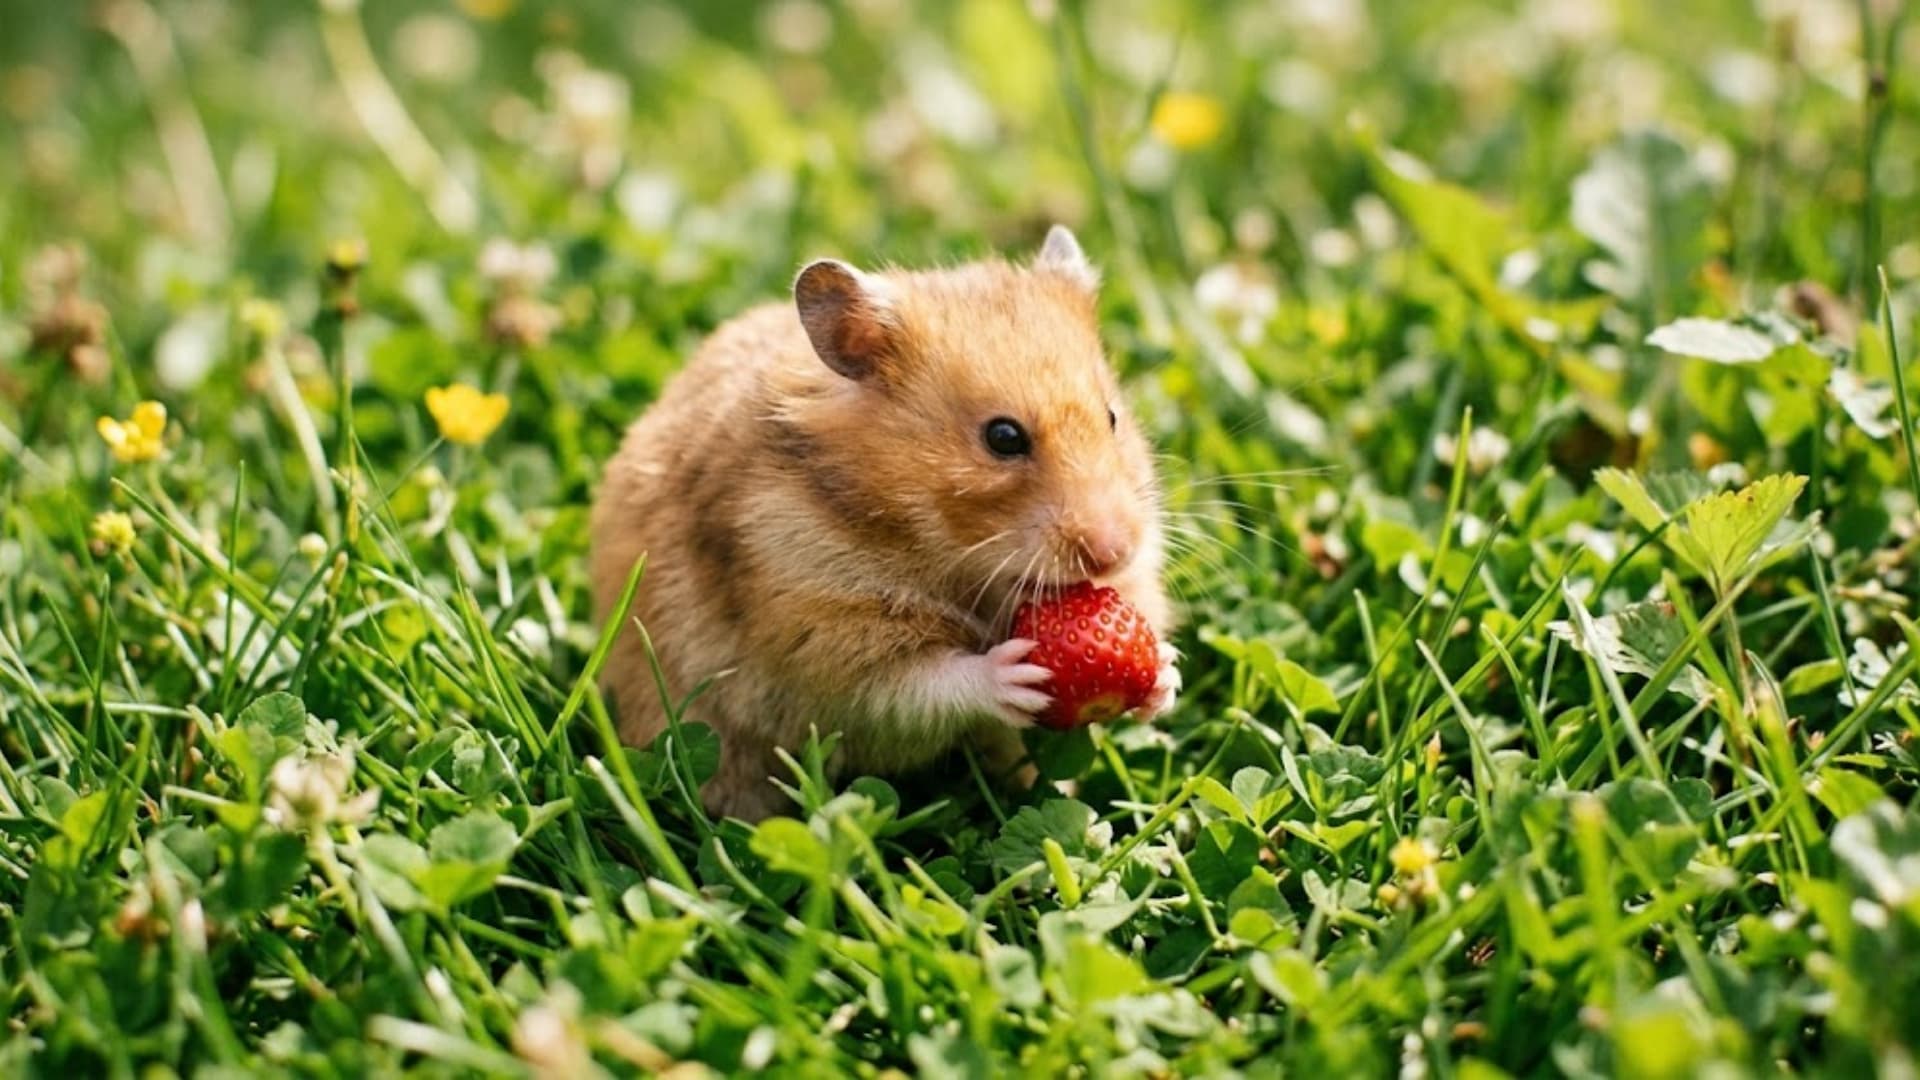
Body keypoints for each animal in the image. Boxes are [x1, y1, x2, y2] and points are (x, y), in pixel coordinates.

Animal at [589, 226, 1178, 821]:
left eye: (1112, 417)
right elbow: (922, 682)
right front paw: (1018, 673)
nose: (1113, 551)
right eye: (1003, 437)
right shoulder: (822, 638)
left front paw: (1164, 675)